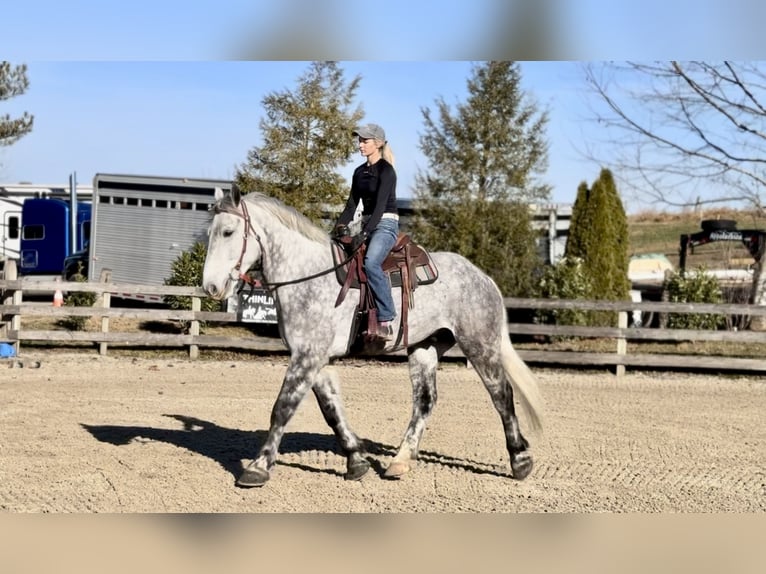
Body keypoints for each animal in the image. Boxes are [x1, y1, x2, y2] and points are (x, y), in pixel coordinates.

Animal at [202, 186, 544, 487]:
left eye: (228, 232)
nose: (211, 287)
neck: (308, 277)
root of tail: (483, 277)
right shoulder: (316, 358)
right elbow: (331, 410)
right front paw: (356, 461)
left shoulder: (307, 357)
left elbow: (282, 408)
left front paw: (257, 467)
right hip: (424, 346)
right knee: (425, 401)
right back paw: (400, 461)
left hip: (479, 344)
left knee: (502, 394)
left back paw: (520, 460)